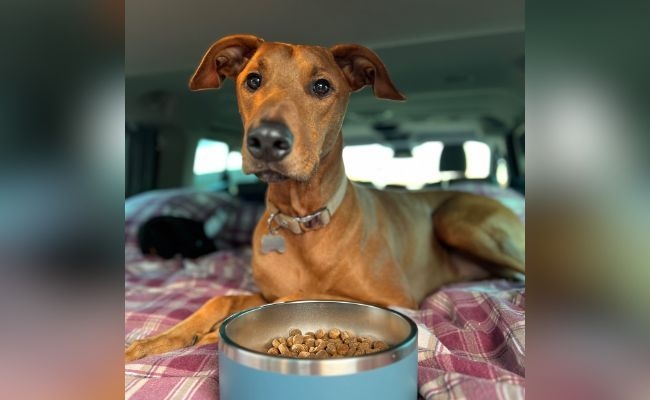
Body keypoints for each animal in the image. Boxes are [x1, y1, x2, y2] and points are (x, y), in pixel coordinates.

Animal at [124, 35, 524, 362]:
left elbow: (302, 297)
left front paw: (209, 336)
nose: (266, 140)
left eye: (321, 86)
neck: (302, 219)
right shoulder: (263, 292)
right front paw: (158, 340)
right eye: (253, 80)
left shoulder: (394, 297)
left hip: (457, 221)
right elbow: (225, 298)